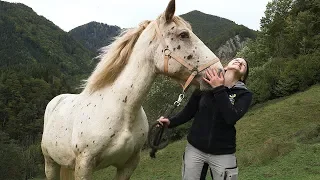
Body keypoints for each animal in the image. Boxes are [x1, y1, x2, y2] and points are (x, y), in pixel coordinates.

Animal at [41, 0, 224, 179]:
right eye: (183, 35)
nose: (219, 72)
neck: (122, 110)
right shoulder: (84, 166)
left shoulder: (129, 164)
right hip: (50, 164)